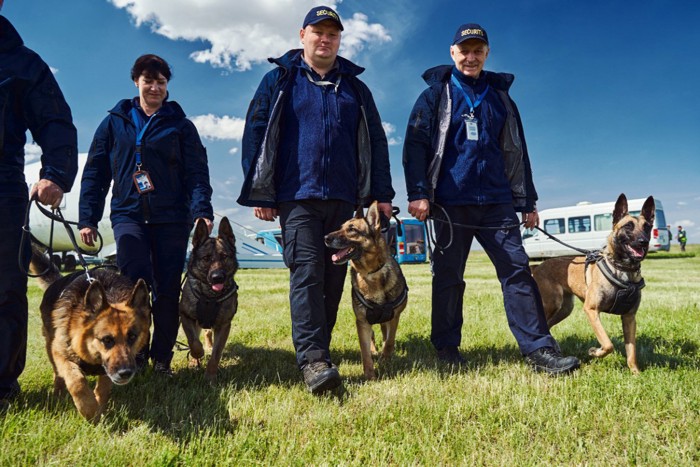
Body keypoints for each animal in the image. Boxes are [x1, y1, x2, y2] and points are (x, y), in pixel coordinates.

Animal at [30, 243, 152, 422]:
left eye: (132, 337)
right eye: (107, 340)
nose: (126, 373)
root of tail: (57, 280)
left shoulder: (106, 370)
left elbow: (103, 388)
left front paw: (98, 409)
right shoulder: (62, 355)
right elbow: (77, 382)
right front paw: (88, 410)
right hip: (50, 348)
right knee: (58, 374)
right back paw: (58, 394)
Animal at [179, 218, 239, 382]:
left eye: (224, 256)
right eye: (206, 258)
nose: (218, 277)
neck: (209, 297)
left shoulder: (224, 325)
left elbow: (216, 354)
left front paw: (210, 376)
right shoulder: (186, 317)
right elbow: (193, 342)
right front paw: (197, 355)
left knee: (207, 334)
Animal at [324, 202, 408, 380]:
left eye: (352, 229)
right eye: (340, 227)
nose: (325, 238)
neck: (370, 273)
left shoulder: (394, 317)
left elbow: (389, 341)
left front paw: (386, 359)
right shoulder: (362, 321)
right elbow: (365, 351)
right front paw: (370, 375)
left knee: (384, 335)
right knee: (372, 338)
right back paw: (375, 351)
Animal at [536, 196, 656, 374]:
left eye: (647, 227)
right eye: (628, 226)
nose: (644, 242)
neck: (622, 269)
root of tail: (537, 266)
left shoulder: (629, 317)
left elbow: (631, 352)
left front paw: (636, 373)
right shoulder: (592, 310)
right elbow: (608, 344)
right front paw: (594, 352)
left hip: (565, 309)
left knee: (549, 325)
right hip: (552, 304)